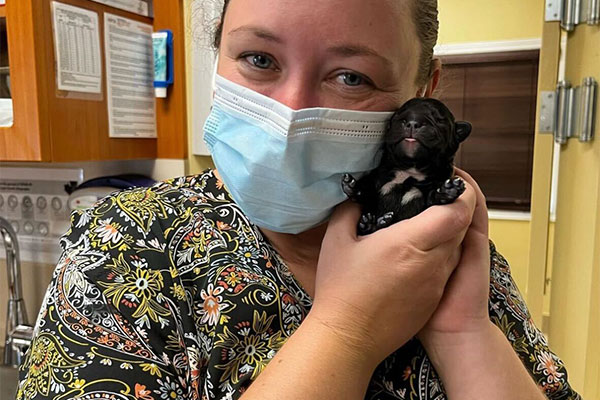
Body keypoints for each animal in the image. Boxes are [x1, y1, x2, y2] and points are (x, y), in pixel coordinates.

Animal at [344, 98, 472, 234]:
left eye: (439, 120)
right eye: (398, 115)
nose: (412, 123)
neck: (411, 169)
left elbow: (432, 199)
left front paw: (448, 190)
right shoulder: (377, 179)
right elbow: (368, 193)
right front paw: (354, 186)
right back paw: (371, 224)